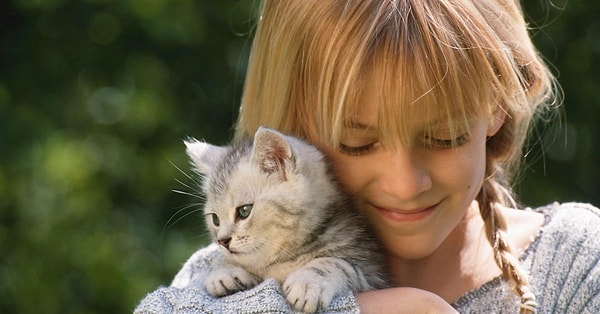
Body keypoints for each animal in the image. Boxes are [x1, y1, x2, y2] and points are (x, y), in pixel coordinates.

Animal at [185, 126, 386, 312]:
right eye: (215, 219)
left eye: (244, 211)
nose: (223, 241)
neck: (284, 258)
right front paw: (224, 271)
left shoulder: (372, 274)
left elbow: (337, 263)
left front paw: (308, 282)